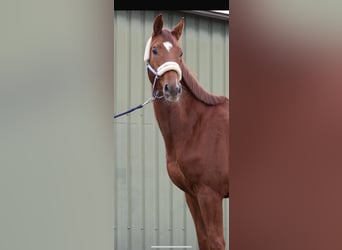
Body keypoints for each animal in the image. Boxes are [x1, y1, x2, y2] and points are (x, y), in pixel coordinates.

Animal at [144, 14, 227, 249]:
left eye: (180, 53)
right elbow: (203, 239)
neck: (196, 127)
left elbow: (216, 241)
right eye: (155, 50)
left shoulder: (210, 194)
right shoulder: (192, 194)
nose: (173, 89)